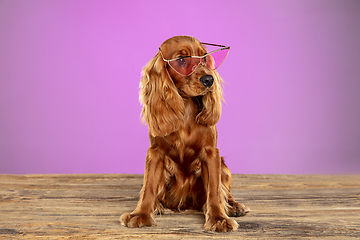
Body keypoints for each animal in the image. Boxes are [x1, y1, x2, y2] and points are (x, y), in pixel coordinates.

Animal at [119, 34, 249, 232]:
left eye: (205, 58)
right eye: (181, 59)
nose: (209, 79)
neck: (186, 108)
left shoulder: (211, 153)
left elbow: (214, 190)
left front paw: (219, 218)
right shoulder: (155, 152)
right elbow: (148, 186)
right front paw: (140, 214)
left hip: (224, 167)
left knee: (224, 191)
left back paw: (234, 206)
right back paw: (157, 205)